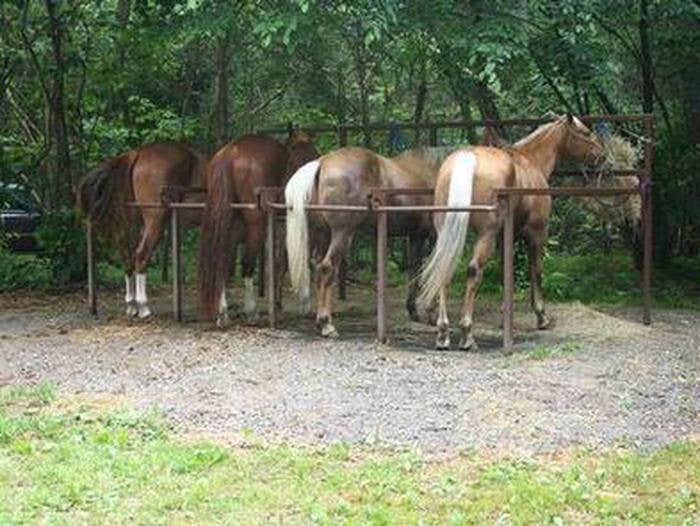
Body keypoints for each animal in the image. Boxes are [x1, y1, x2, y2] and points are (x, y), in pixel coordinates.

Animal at [79, 140, 206, 320]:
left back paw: (131, 306)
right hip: (155, 221)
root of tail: (137, 153)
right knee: (141, 256)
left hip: (133, 223)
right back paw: (143, 307)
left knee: (128, 257)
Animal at [196, 134, 318, 328]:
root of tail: (230, 153)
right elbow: (297, 258)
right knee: (247, 264)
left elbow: (280, 262)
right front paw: (303, 303)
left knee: (223, 261)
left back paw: (223, 313)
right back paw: (251, 312)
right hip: (256, 227)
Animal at [284, 144, 454, 338]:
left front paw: (413, 310)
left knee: (318, 268)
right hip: (342, 233)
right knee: (327, 268)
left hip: (323, 234)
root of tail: (322, 162)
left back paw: (320, 322)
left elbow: (415, 270)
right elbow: (435, 270)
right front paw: (432, 314)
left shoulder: (416, 237)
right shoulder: (434, 236)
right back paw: (327, 324)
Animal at [416, 116, 608, 354]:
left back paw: (443, 334)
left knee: (444, 269)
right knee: (474, 271)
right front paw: (541, 316)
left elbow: (505, 272)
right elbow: (535, 272)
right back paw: (467, 335)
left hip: (448, 234)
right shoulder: (536, 235)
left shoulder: (503, 237)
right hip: (485, 235)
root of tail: (467, 159)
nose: (602, 155)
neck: (531, 162)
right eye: (585, 132)